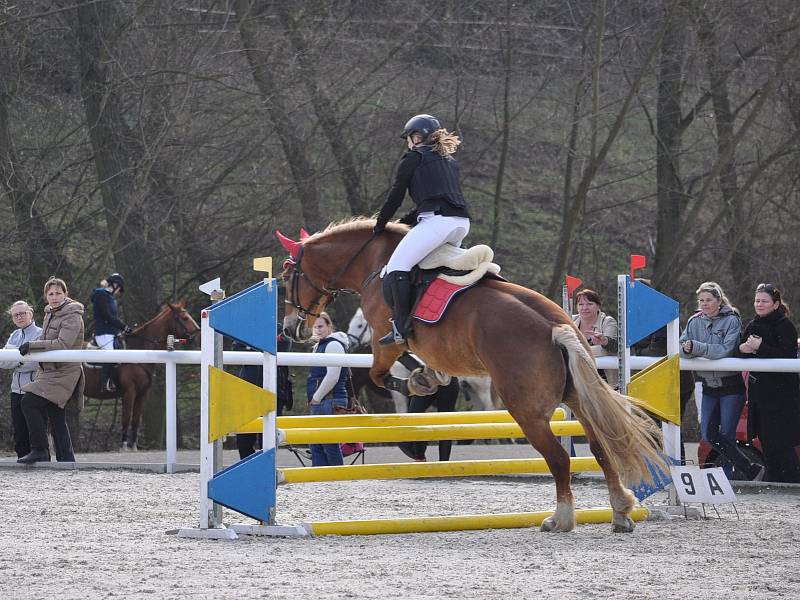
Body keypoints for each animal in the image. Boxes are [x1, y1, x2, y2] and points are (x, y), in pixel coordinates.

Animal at [83, 300, 200, 450]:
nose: (198, 335)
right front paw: (124, 446)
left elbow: (135, 420)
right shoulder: (129, 392)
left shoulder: (142, 394)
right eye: (185, 318)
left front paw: (133, 446)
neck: (138, 350)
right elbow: (126, 419)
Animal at [278, 220, 664, 536]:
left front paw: (419, 381)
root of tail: (556, 328)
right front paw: (429, 375)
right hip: (577, 398)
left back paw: (561, 519)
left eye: (286, 277)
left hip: (527, 411)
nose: (292, 329)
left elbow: (381, 372)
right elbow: (409, 366)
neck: (374, 263)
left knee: (559, 458)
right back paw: (621, 512)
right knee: (601, 447)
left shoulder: (386, 341)